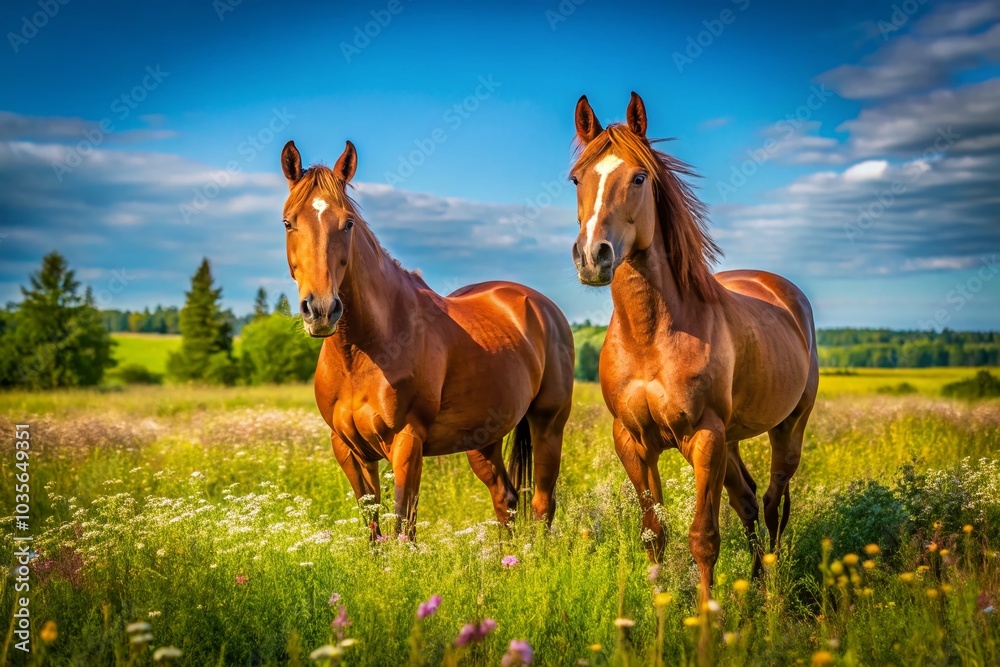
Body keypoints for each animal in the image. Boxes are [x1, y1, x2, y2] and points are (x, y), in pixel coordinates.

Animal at [278, 139, 575, 539]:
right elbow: (374, 530)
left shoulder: (407, 442)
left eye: (348, 223)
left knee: (543, 504)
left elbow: (403, 527)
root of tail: (540, 305)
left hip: (549, 425)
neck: (363, 351)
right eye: (288, 222)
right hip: (483, 440)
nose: (322, 309)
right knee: (506, 500)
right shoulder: (348, 449)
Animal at [568, 92, 819, 601]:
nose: (592, 257)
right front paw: (658, 603)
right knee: (747, 499)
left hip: (787, 428)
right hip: (733, 440)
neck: (650, 337)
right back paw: (755, 581)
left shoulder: (705, 437)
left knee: (770, 501)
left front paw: (706, 615)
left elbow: (703, 536)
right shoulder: (633, 441)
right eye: (577, 178)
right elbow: (654, 533)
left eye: (639, 177)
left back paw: (769, 589)